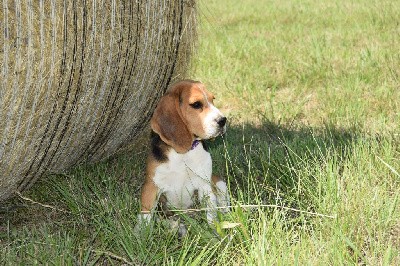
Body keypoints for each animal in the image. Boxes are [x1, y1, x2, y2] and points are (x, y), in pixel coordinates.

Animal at [138, 79, 230, 233]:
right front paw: (140, 235)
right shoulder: (152, 186)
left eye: (213, 99)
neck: (184, 154)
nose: (223, 120)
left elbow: (211, 213)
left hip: (219, 182)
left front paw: (214, 232)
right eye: (196, 104)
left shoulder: (204, 185)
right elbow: (145, 215)